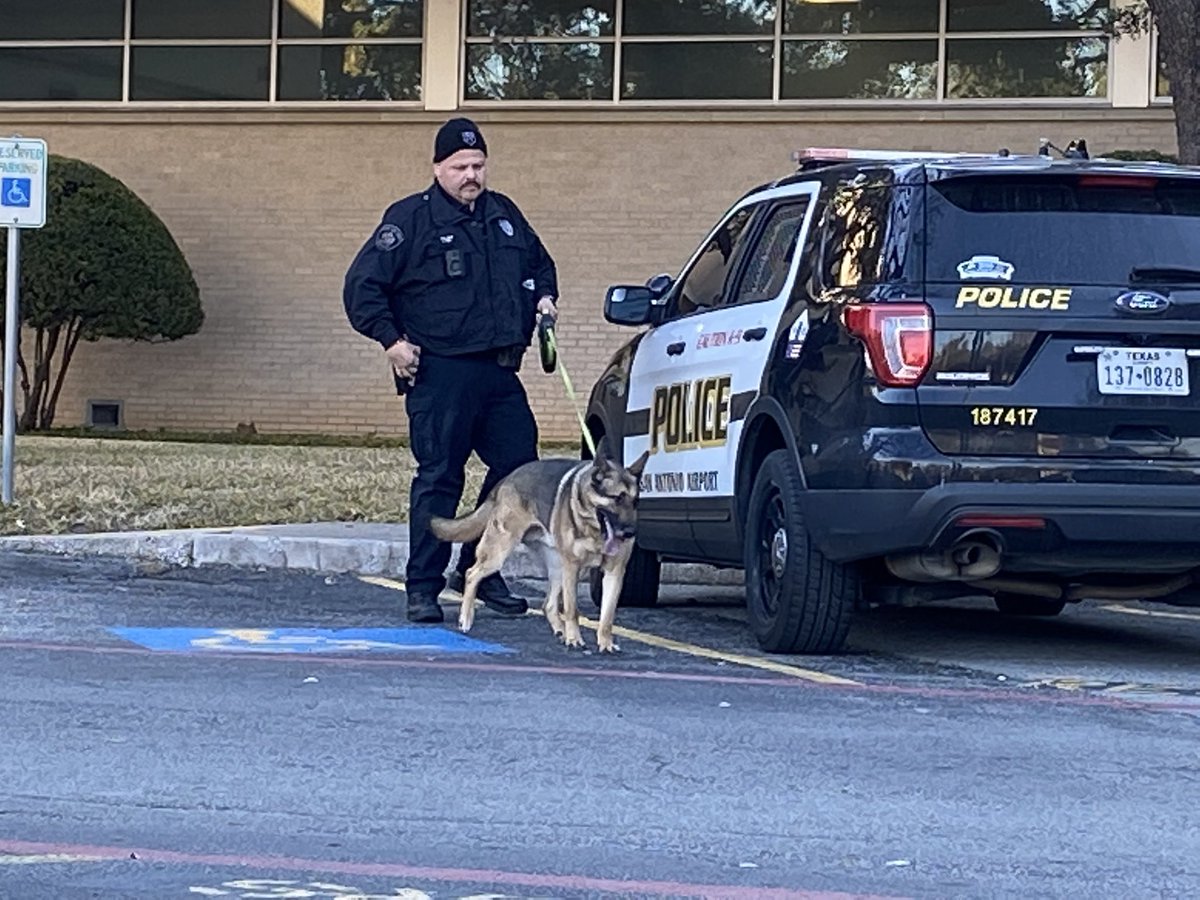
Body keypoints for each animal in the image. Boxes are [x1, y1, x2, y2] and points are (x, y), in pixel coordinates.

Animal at [432, 451, 652, 657]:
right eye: (617, 498)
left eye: (635, 501)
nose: (631, 533)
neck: (596, 531)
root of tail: (507, 478)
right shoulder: (572, 568)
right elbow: (572, 610)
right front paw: (575, 639)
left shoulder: (615, 573)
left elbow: (607, 616)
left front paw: (605, 643)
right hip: (500, 552)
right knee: (472, 573)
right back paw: (466, 618)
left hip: (557, 567)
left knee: (549, 604)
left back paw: (561, 631)